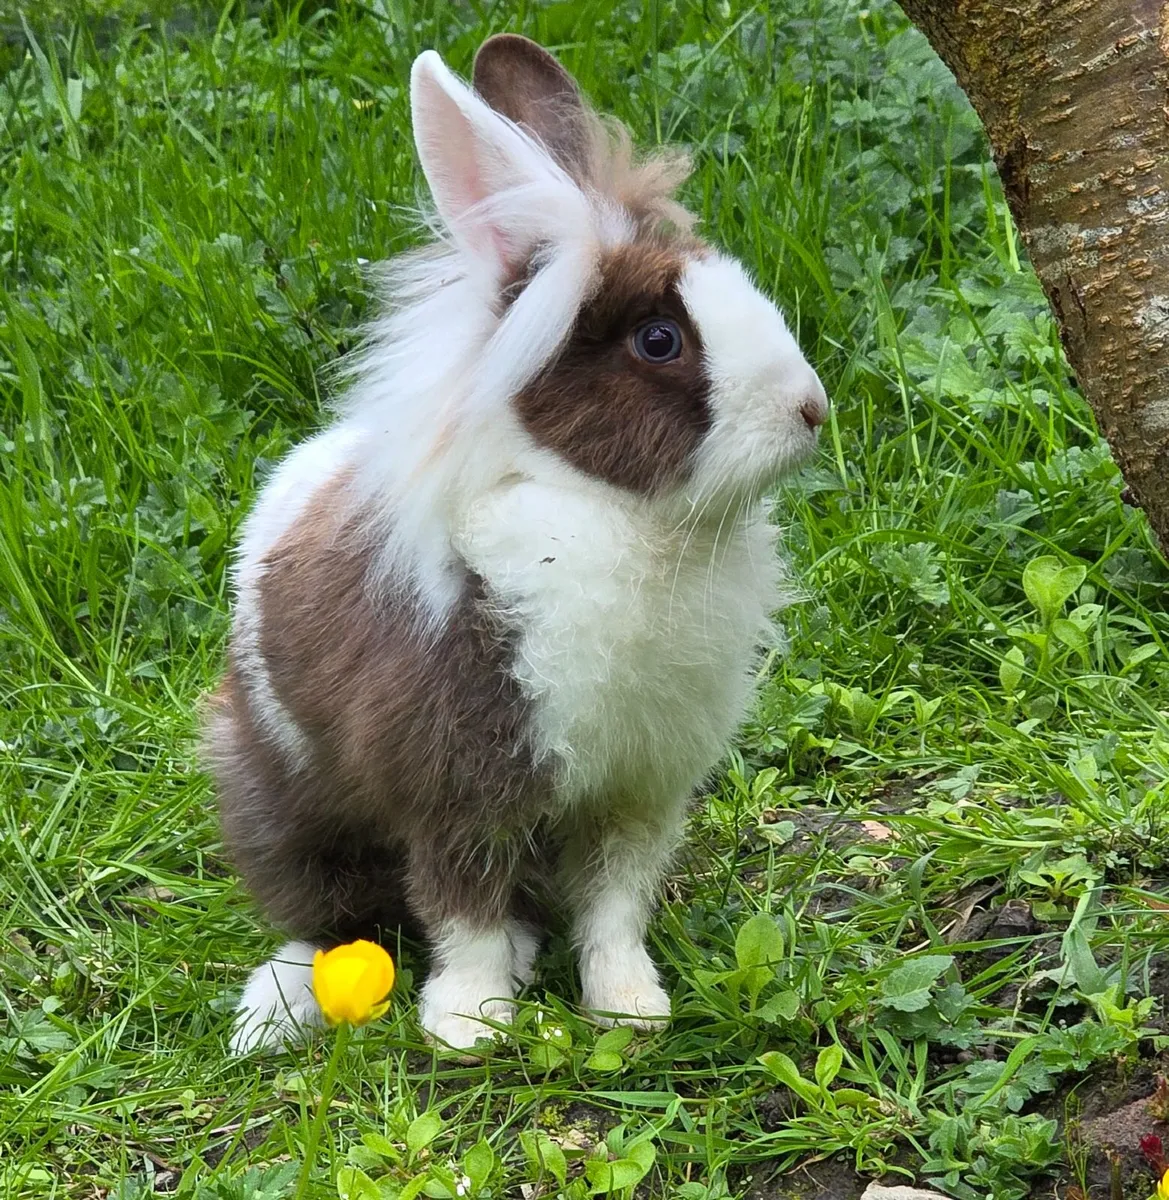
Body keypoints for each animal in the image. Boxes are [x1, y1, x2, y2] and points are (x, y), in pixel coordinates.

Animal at [205, 32, 829, 1054]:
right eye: (659, 340)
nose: (810, 409)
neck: (618, 520)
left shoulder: (637, 791)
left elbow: (613, 905)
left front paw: (630, 1007)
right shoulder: (454, 785)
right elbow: (459, 906)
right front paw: (470, 1024)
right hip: (278, 795)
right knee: (331, 915)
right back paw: (278, 1008)